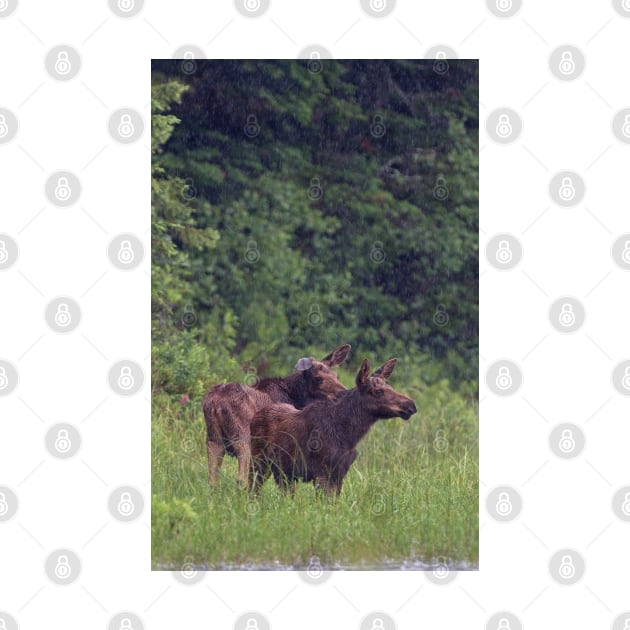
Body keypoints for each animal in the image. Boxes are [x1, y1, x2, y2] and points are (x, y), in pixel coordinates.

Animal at [202, 346, 350, 488]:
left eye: (337, 376)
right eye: (318, 378)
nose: (344, 394)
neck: (297, 399)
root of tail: (216, 404)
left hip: (214, 439)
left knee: (213, 480)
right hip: (243, 437)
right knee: (241, 479)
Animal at [249, 360, 418, 498]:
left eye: (390, 385)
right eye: (378, 391)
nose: (411, 405)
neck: (349, 435)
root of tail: (255, 416)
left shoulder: (340, 473)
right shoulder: (321, 473)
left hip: (283, 473)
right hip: (259, 462)